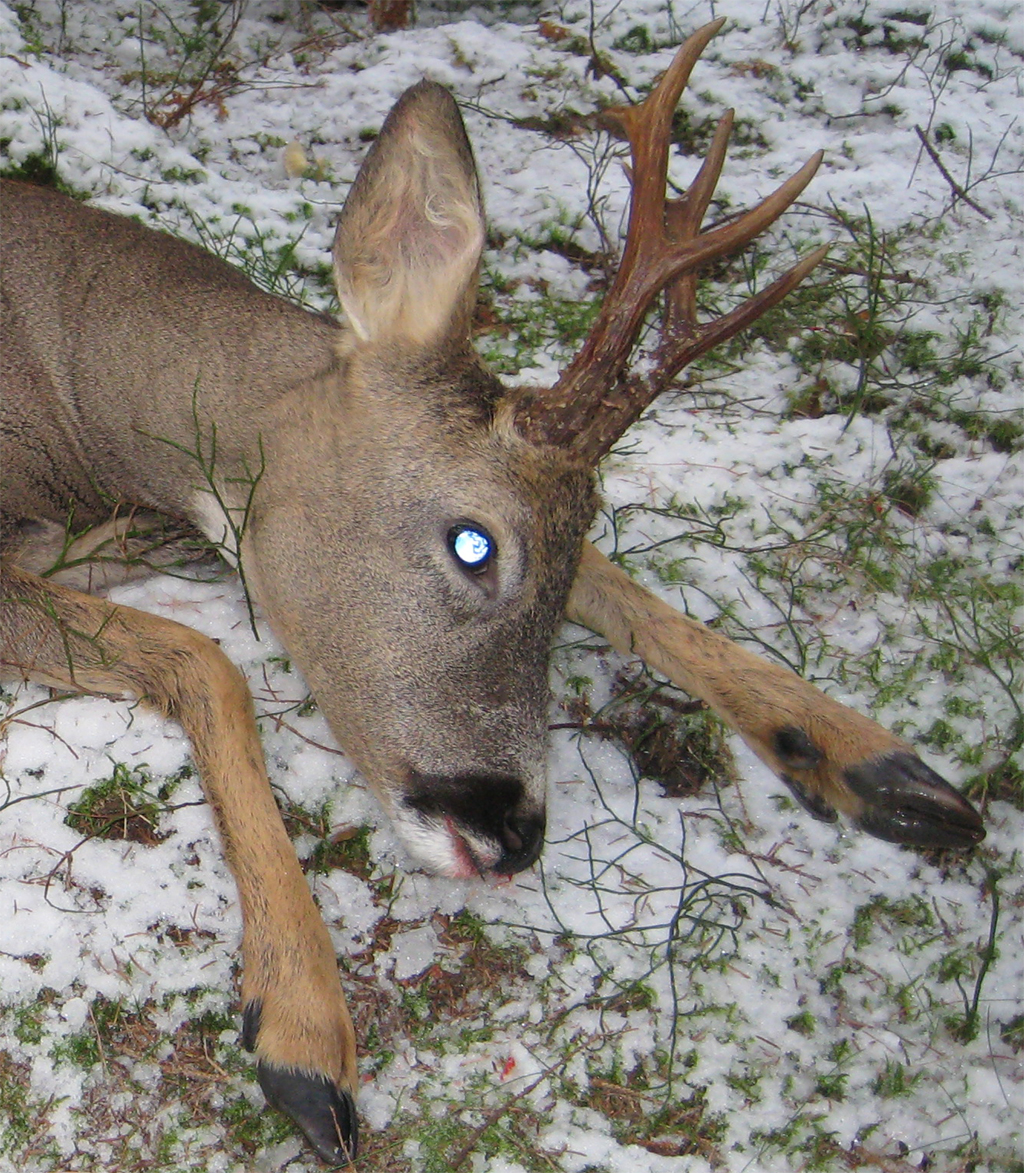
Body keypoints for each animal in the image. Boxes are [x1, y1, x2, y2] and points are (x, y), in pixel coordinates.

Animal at [0, 18, 980, 1163]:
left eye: (570, 534)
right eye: (473, 543)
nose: (512, 834)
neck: (82, 383)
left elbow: (620, 586)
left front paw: (885, 770)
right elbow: (209, 662)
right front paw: (304, 1032)